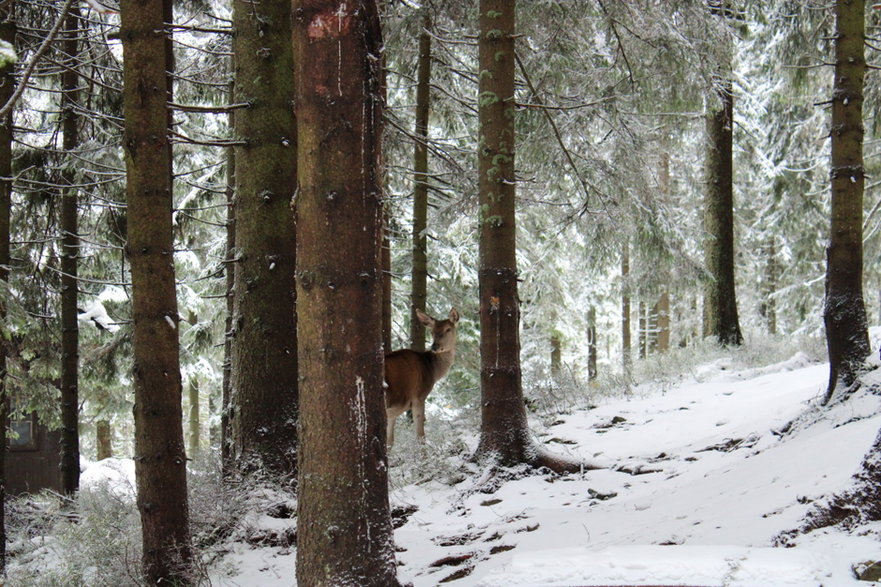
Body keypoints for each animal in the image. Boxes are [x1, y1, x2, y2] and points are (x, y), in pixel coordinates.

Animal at [384, 308, 460, 446]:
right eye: (432, 331)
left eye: (448, 329)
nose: (434, 346)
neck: (432, 371)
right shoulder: (418, 397)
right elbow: (421, 436)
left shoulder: (393, 411)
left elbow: (390, 441)